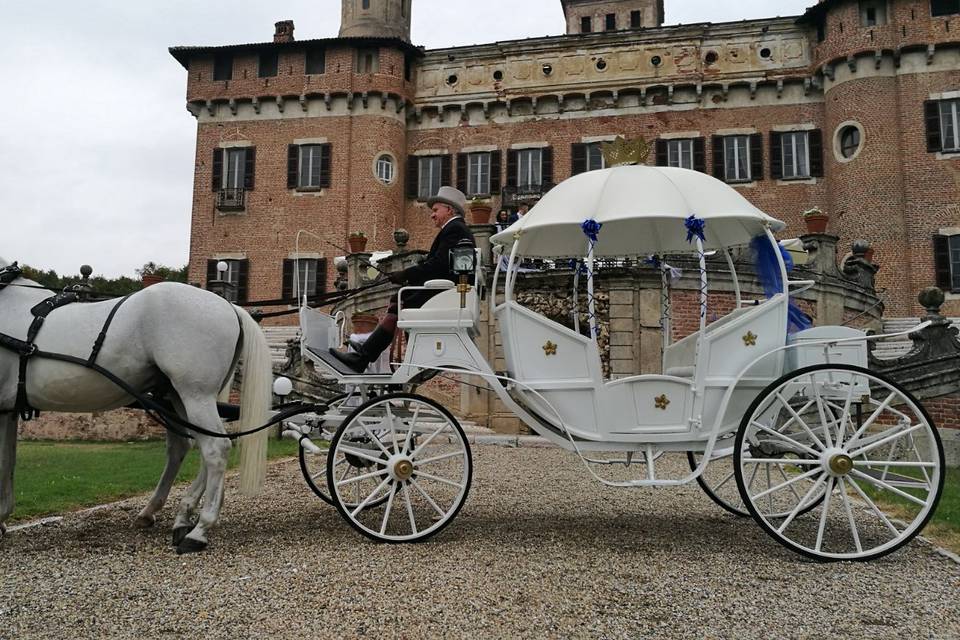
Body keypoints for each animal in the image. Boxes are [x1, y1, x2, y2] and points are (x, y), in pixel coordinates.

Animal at [0, 258, 272, 552]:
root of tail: (229, 306)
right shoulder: (8, 410)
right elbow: (8, 464)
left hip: (195, 394)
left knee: (215, 448)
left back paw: (199, 530)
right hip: (180, 397)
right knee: (192, 446)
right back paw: (176, 515)